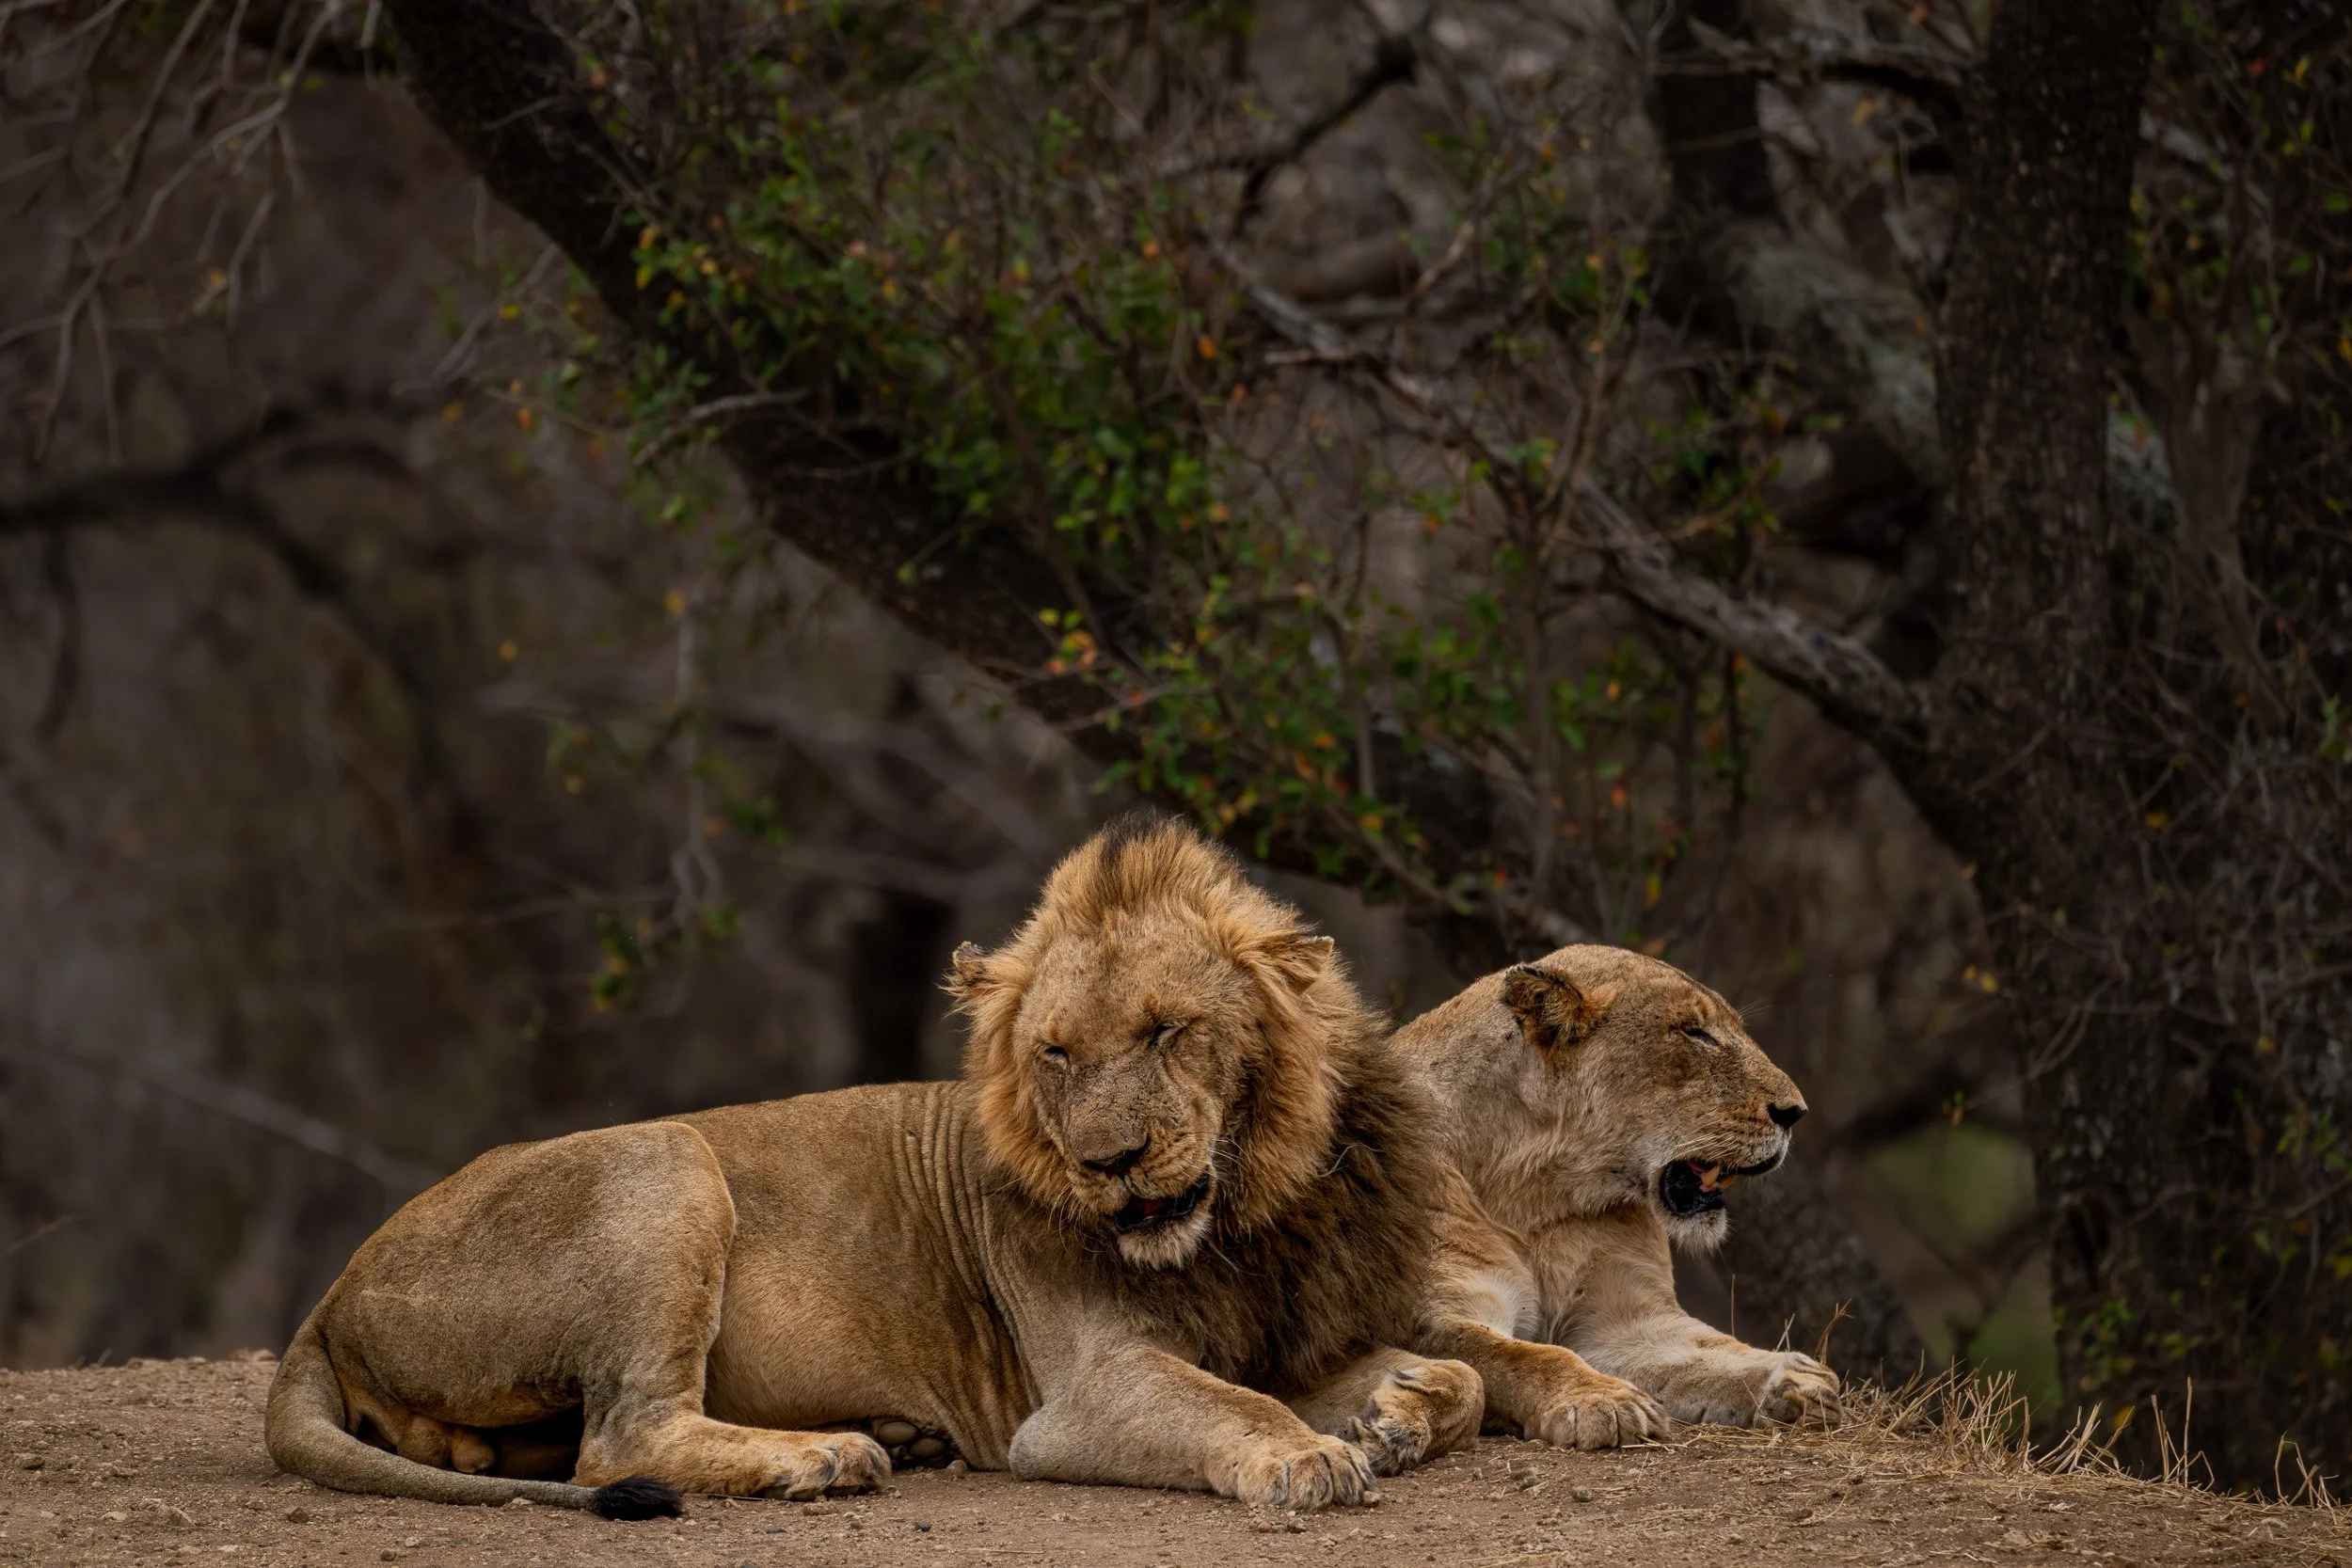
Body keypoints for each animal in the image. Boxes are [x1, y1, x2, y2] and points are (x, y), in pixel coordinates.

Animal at [264, 817, 1482, 1516]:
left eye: (1168, 1030)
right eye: (1056, 1052)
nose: (1110, 1160)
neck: (1243, 1215)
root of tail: (329, 1296)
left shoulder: (1279, 1331)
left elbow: (1460, 1377)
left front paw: (1404, 1407)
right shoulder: (1078, 1396)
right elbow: (1227, 1402)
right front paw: (1307, 1455)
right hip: (666, 1156)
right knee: (618, 1443)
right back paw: (823, 1456)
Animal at [1395, 945, 1843, 1446]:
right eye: (1695, 1033)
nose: (1795, 1113)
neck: (1535, 1191)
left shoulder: (1627, 1320)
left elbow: (1704, 1351)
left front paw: (1792, 1378)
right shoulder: (1438, 1314)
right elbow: (1523, 1357)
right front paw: (1601, 1400)